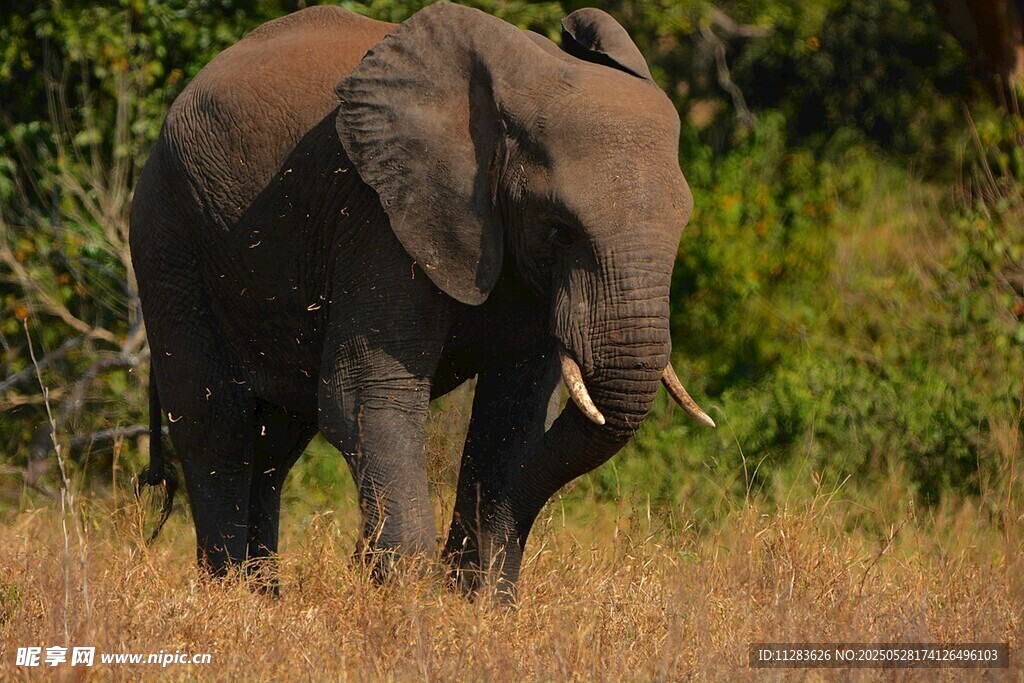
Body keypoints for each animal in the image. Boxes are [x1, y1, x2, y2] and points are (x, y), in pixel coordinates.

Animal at [130, 2, 715, 598]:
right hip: (169, 239)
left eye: (683, 224)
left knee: (276, 439)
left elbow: (516, 414)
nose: (355, 556)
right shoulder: (379, 213)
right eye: (560, 229)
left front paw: (480, 604)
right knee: (214, 421)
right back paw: (232, 597)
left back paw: (264, 595)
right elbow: (364, 395)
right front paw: (411, 601)